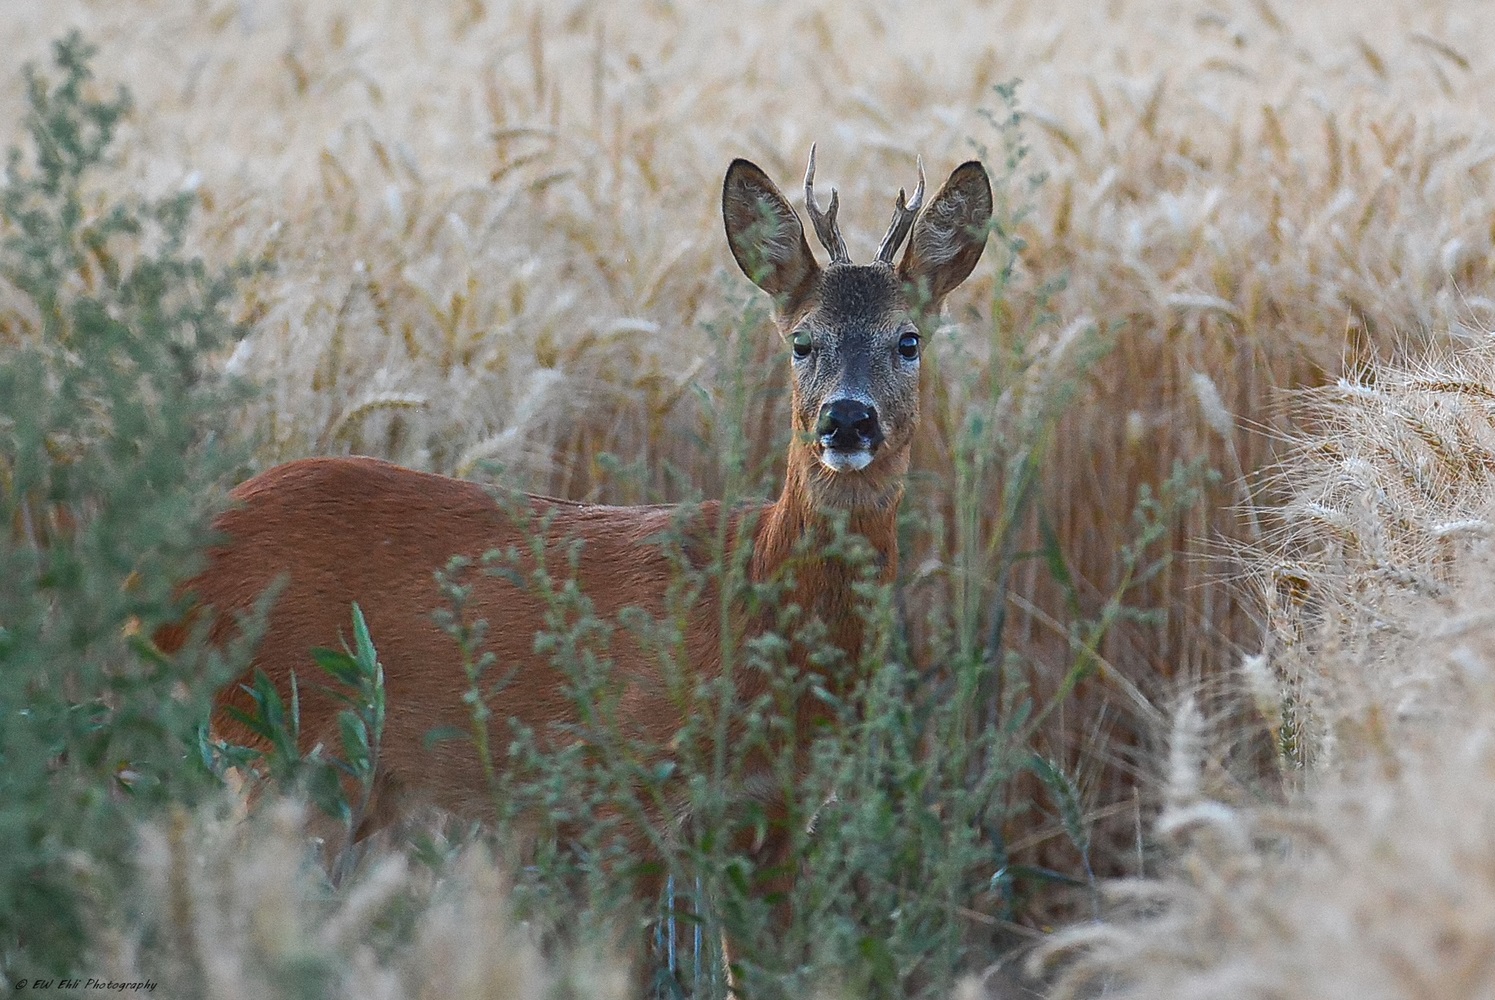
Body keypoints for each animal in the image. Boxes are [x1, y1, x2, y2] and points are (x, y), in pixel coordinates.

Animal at [171, 147, 992, 878]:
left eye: (908, 340)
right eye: (801, 341)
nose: (846, 420)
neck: (753, 591)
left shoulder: (776, 820)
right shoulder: (627, 785)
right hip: (283, 742)